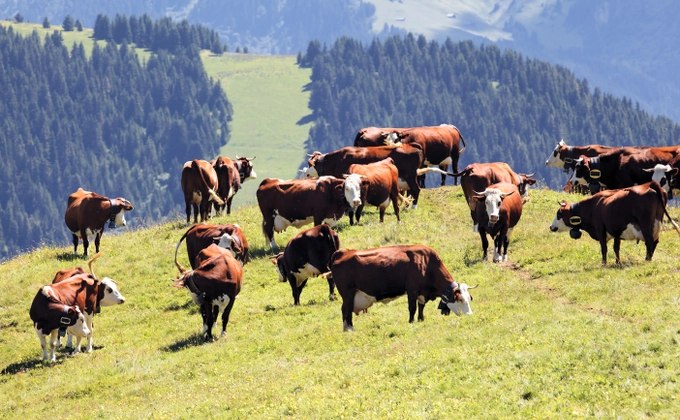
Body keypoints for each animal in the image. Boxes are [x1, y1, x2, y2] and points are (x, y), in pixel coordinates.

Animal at [300, 145, 442, 209]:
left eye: (309, 164)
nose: (304, 175)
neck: (336, 160)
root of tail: (413, 147)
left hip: (410, 176)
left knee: (416, 189)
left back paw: (412, 207)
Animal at [327, 244, 475, 331]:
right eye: (461, 299)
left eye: (469, 299)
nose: (470, 315)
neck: (426, 263)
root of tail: (343, 252)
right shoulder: (412, 290)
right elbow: (412, 308)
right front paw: (411, 322)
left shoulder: (422, 292)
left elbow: (421, 307)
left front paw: (421, 320)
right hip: (348, 293)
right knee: (346, 310)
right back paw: (350, 329)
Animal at [549, 181, 680, 264]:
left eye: (559, 214)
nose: (551, 227)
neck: (592, 206)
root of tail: (650, 184)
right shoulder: (617, 230)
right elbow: (616, 248)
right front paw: (618, 262)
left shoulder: (600, 229)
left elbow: (604, 248)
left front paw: (604, 263)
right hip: (657, 223)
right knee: (655, 241)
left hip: (645, 224)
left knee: (649, 241)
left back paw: (647, 259)